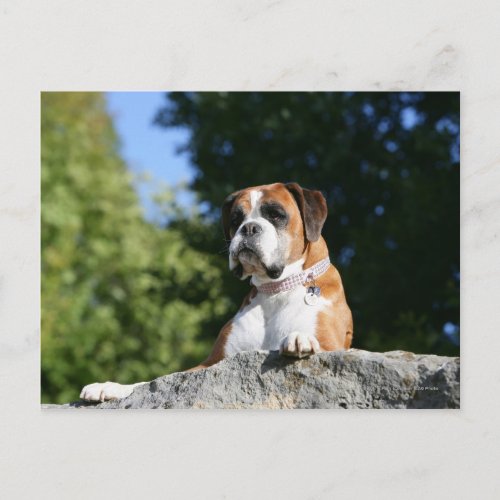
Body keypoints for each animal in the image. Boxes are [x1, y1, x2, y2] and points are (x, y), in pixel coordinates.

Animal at [80, 183, 354, 402]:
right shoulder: (210, 364)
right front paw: (110, 387)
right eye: (235, 219)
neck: (275, 290)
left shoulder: (333, 346)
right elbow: (150, 382)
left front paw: (300, 338)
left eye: (276, 214)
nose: (249, 228)